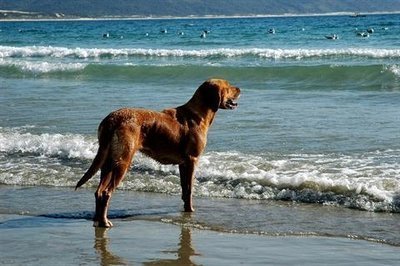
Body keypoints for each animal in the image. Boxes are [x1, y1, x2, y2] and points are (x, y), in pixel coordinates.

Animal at [75, 78, 241, 227]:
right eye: (228, 86)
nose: (240, 88)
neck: (198, 113)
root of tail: (111, 119)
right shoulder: (192, 160)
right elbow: (189, 189)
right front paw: (190, 211)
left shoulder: (183, 163)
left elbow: (184, 189)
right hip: (123, 161)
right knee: (106, 192)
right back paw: (104, 222)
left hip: (108, 162)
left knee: (98, 191)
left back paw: (97, 219)